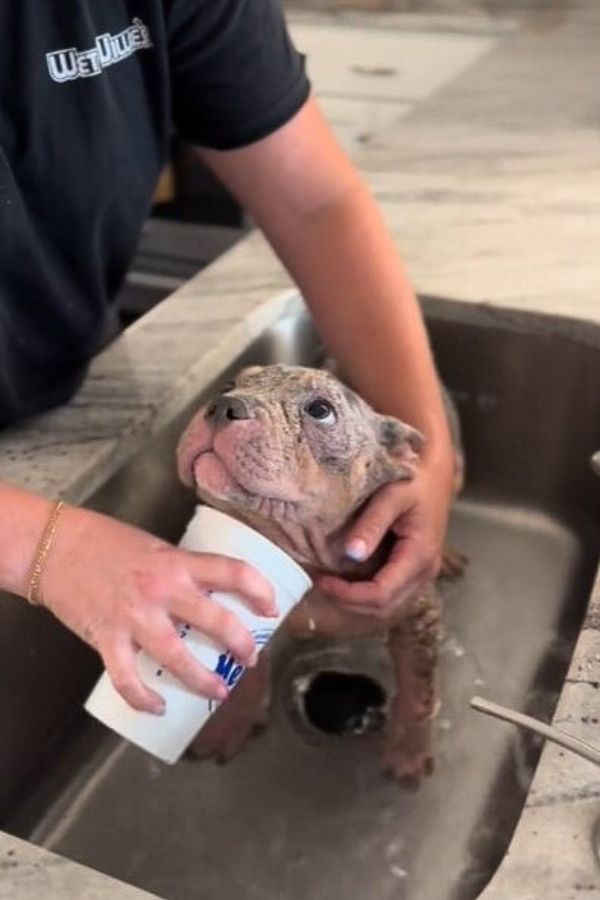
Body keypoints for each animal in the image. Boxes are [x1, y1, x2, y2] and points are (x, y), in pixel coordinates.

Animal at [176, 366, 466, 780]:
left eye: (320, 410)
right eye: (229, 385)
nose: (223, 404)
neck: (305, 557)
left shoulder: (416, 615)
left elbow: (418, 690)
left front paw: (408, 750)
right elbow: (244, 673)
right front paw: (231, 723)